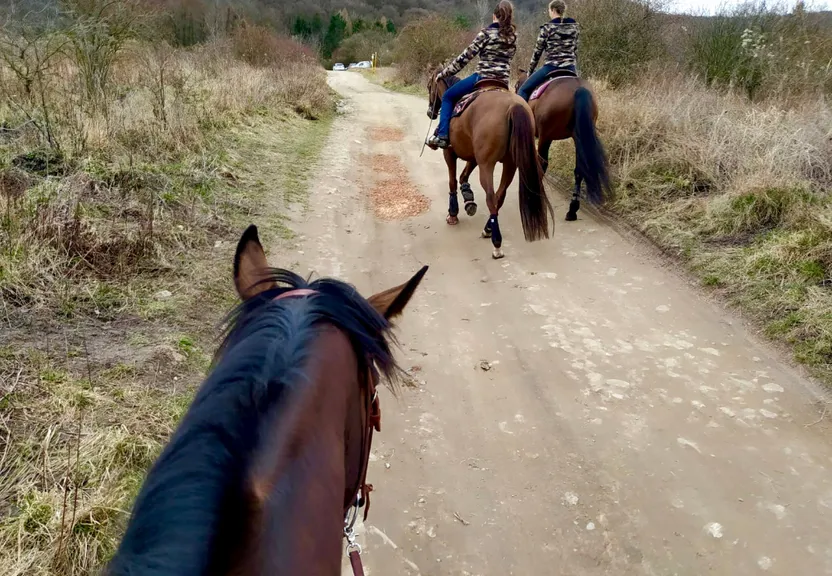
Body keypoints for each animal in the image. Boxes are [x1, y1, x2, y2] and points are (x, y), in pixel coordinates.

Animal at [428, 71, 552, 258]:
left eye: (430, 86)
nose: (430, 113)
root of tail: (513, 106)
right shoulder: (474, 157)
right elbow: (463, 176)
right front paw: (469, 200)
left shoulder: (449, 153)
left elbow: (452, 181)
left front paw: (453, 213)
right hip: (510, 164)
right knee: (499, 196)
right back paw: (488, 229)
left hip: (487, 165)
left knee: (491, 197)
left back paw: (496, 243)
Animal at [516, 68, 608, 220]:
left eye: (517, 84)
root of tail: (579, 89)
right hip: (578, 137)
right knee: (579, 170)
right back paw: (572, 209)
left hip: (546, 136)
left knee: (542, 163)